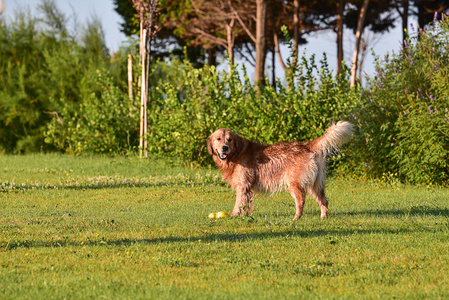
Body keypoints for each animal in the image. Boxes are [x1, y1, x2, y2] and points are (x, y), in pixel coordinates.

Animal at [207, 121, 354, 220]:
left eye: (229, 140)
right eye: (218, 139)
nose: (225, 148)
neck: (236, 154)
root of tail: (307, 145)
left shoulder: (243, 186)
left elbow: (238, 204)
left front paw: (234, 216)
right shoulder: (247, 189)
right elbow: (246, 206)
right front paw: (244, 216)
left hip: (295, 184)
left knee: (301, 201)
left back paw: (296, 218)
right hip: (315, 184)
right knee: (324, 201)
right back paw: (323, 217)